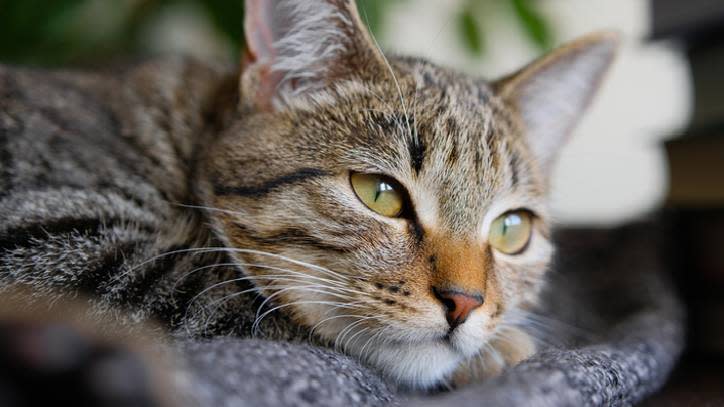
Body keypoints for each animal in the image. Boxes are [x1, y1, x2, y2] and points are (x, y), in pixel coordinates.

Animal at [1, 0, 616, 396]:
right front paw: (502, 348)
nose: (465, 303)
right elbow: (226, 298)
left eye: (512, 230)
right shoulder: (47, 235)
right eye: (380, 194)